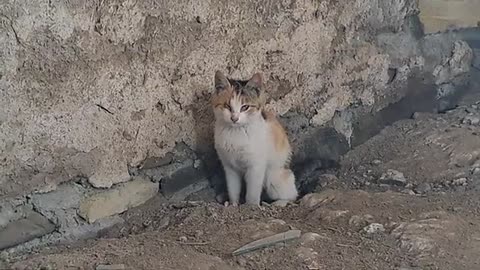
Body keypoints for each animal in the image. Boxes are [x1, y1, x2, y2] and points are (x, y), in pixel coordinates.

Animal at [212, 70, 298, 206]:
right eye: (227, 106)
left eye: (245, 107)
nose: (234, 118)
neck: (235, 132)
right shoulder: (229, 167)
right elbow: (233, 189)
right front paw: (233, 204)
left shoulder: (256, 167)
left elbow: (252, 192)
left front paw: (251, 206)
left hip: (273, 178)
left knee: (292, 195)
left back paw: (278, 203)